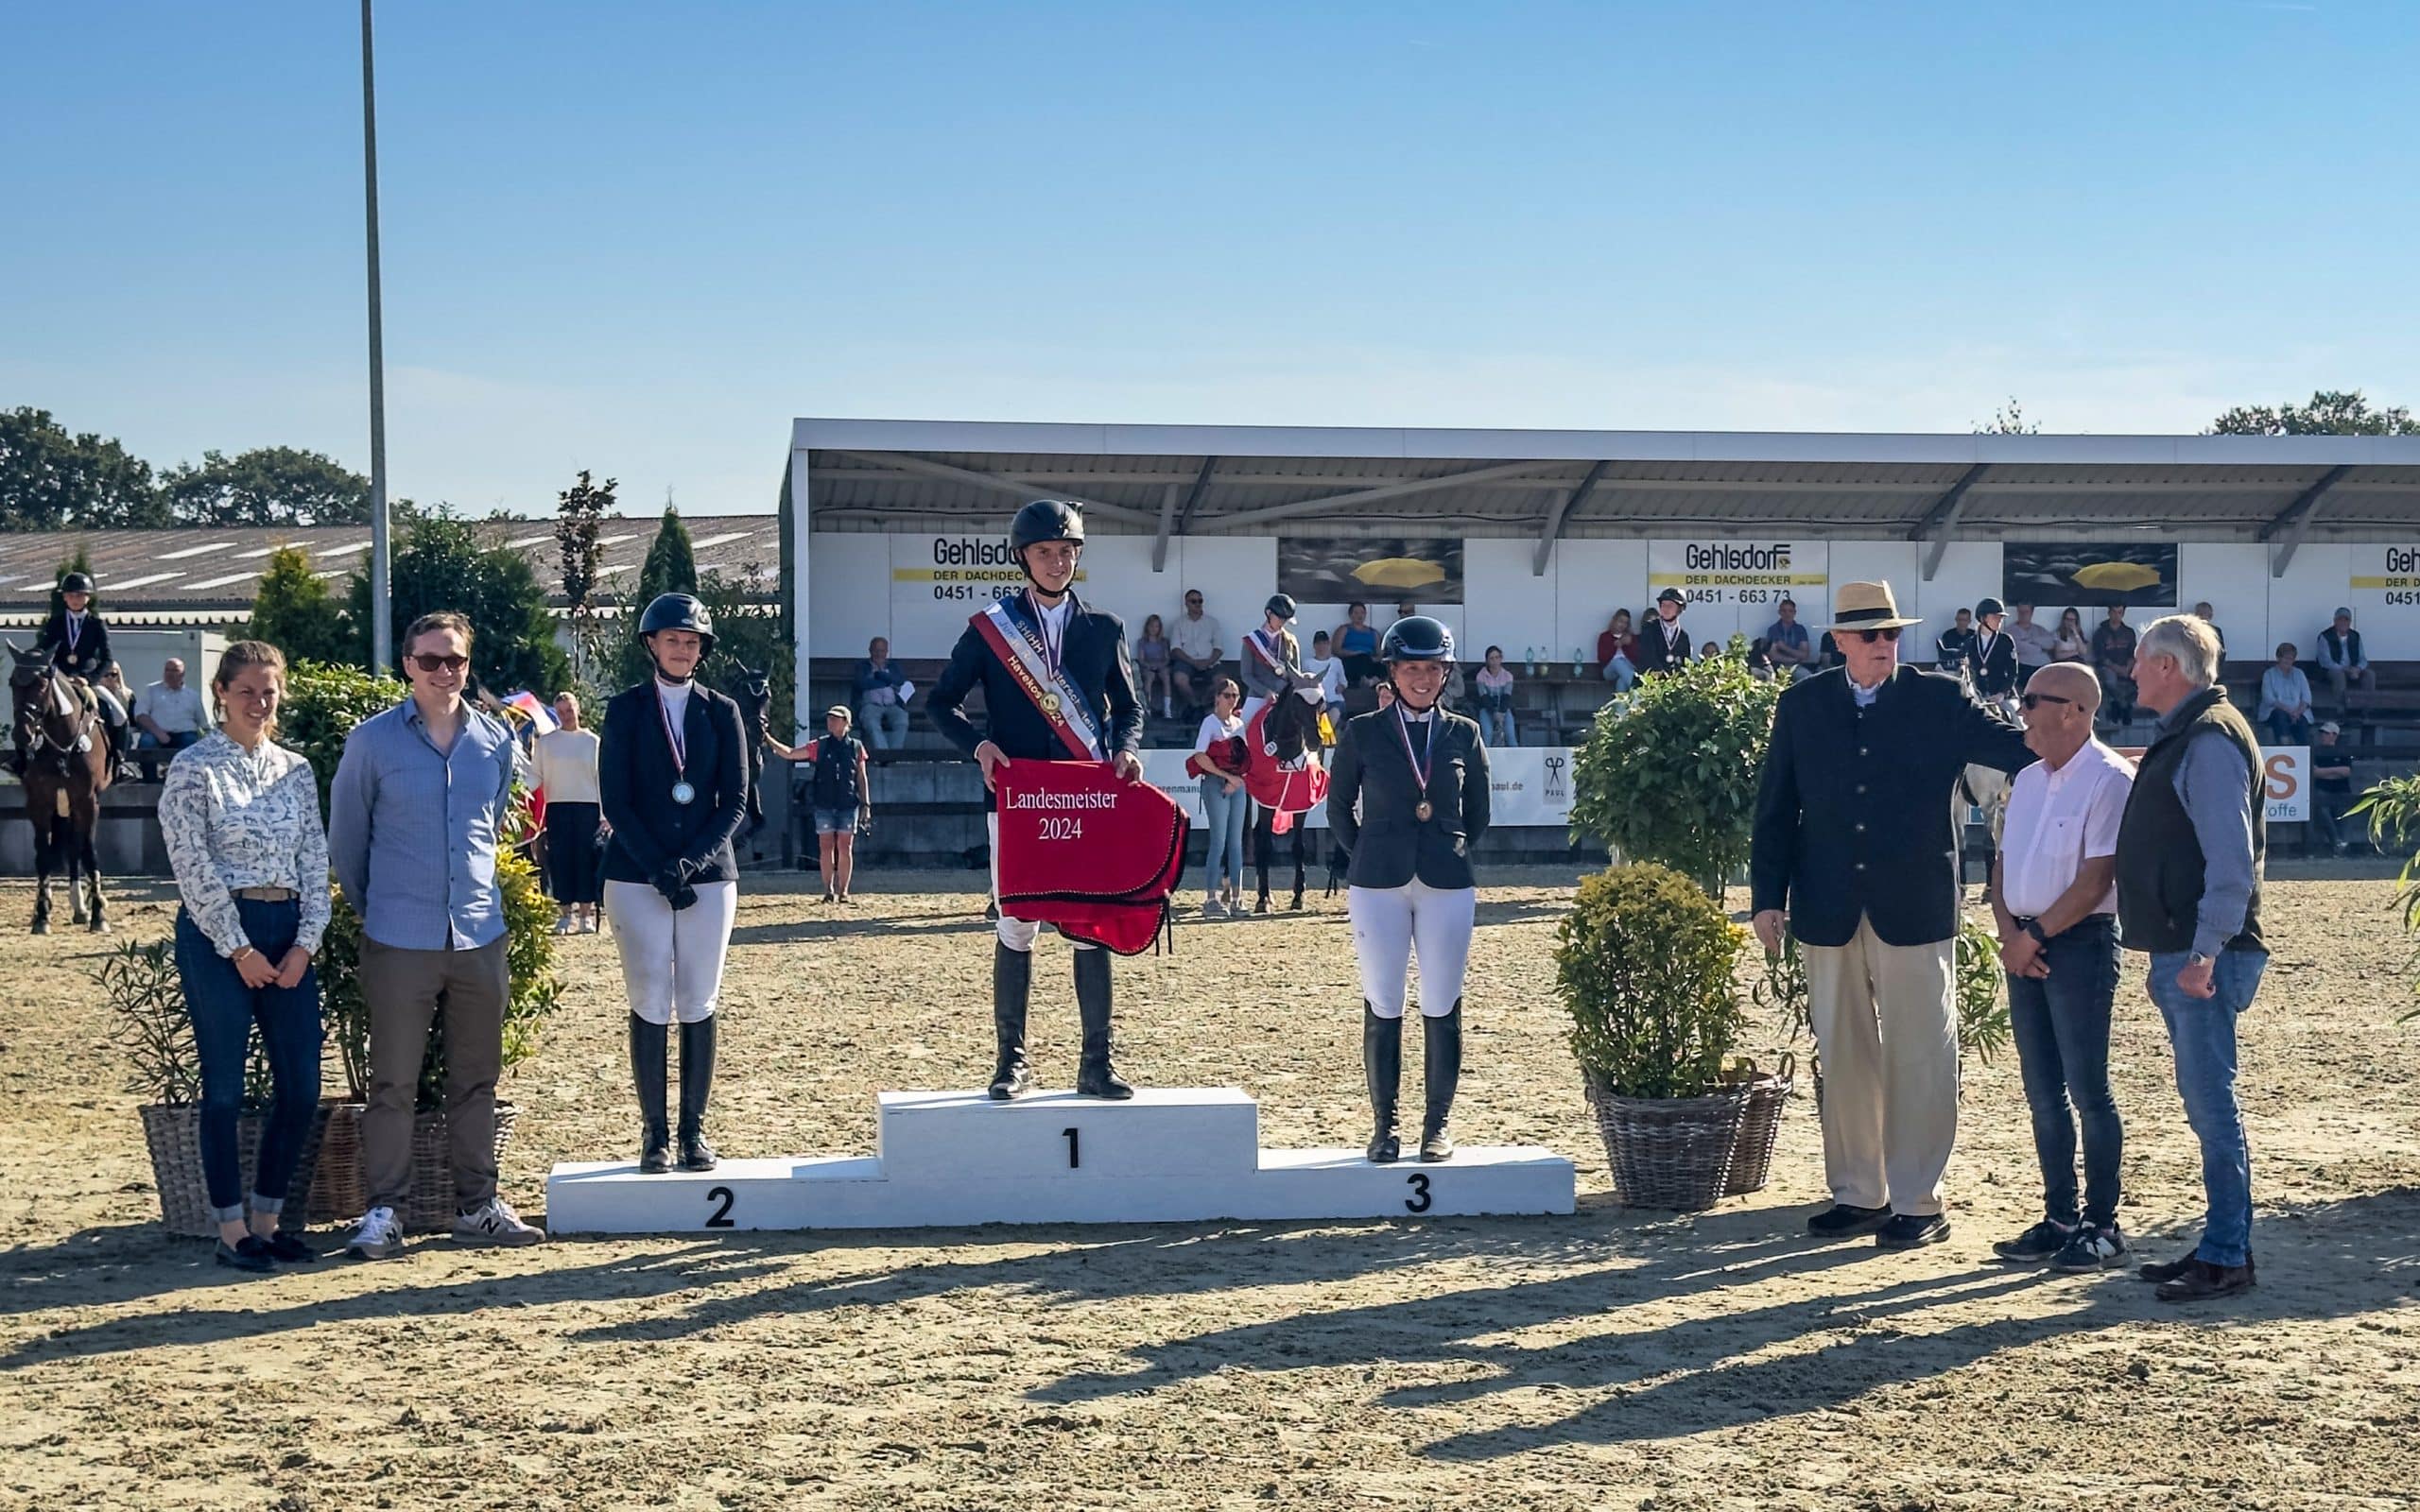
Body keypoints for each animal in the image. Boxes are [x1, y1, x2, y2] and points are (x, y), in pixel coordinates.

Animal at [8, 638, 112, 934]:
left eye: (43, 684)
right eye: (11, 682)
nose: (22, 734)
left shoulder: (87, 800)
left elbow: (88, 851)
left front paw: (99, 915)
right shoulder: (39, 802)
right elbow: (43, 855)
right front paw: (42, 916)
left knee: (75, 849)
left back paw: (82, 909)